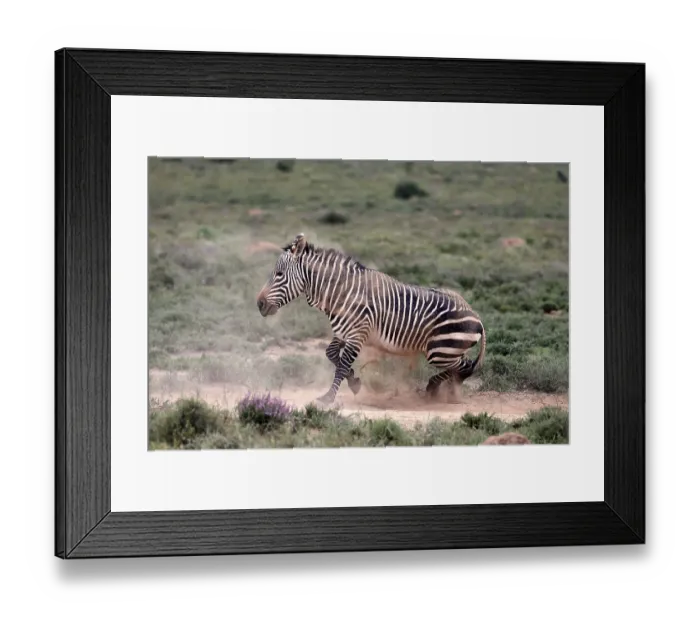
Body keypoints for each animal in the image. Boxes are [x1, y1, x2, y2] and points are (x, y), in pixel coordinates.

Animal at [256, 233, 486, 405]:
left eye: (278, 274)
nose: (259, 304)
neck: (341, 294)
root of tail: (477, 317)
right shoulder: (343, 332)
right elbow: (331, 354)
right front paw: (354, 381)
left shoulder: (357, 334)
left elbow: (341, 365)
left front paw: (328, 397)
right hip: (444, 351)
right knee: (462, 366)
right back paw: (437, 388)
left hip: (440, 351)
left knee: (465, 366)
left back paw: (443, 389)